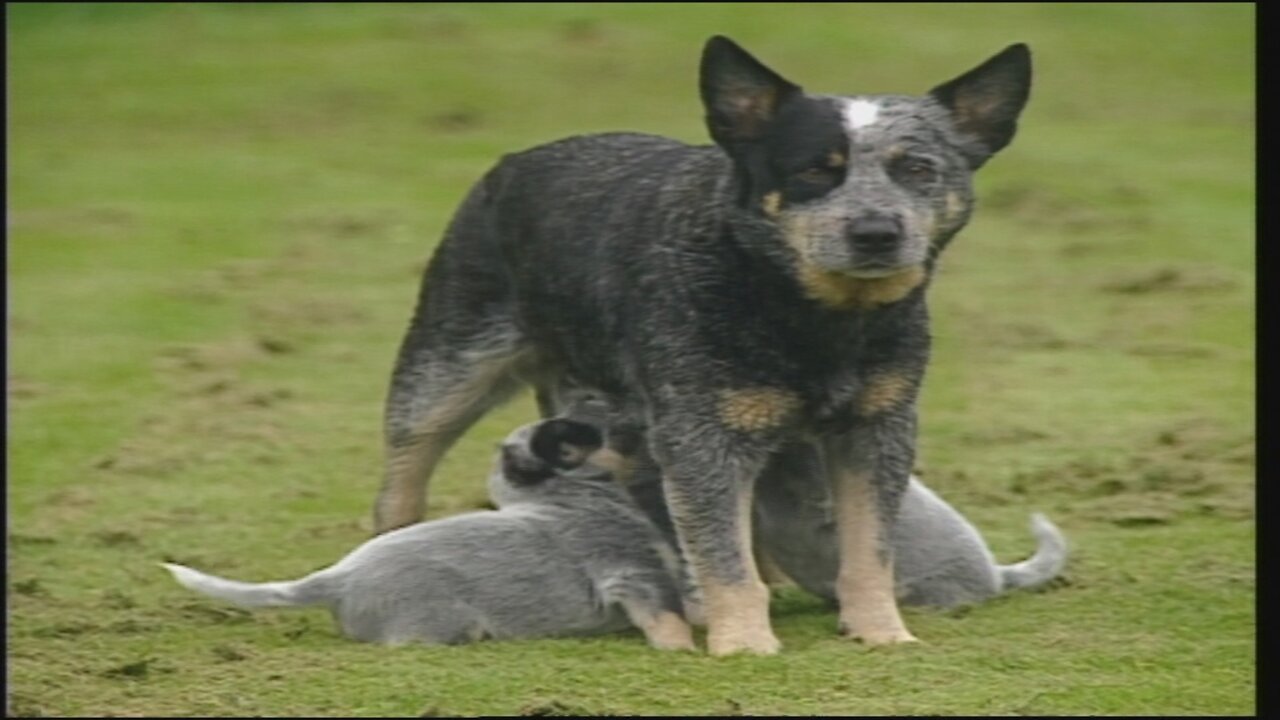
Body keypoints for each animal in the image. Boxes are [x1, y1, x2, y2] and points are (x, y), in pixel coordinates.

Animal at [167, 417, 701, 648]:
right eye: (592, 434)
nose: (639, 425)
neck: (567, 498)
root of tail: (336, 578)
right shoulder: (630, 571)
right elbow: (665, 616)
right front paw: (683, 648)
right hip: (441, 623)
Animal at [373, 36, 1034, 653]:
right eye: (814, 170)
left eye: (917, 168)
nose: (876, 231)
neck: (808, 315)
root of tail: (512, 163)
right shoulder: (702, 436)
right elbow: (723, 556)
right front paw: (744, 643)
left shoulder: (878, 429)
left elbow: (869, 548)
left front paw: (881, 632)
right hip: (447, 371)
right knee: (404, 473)